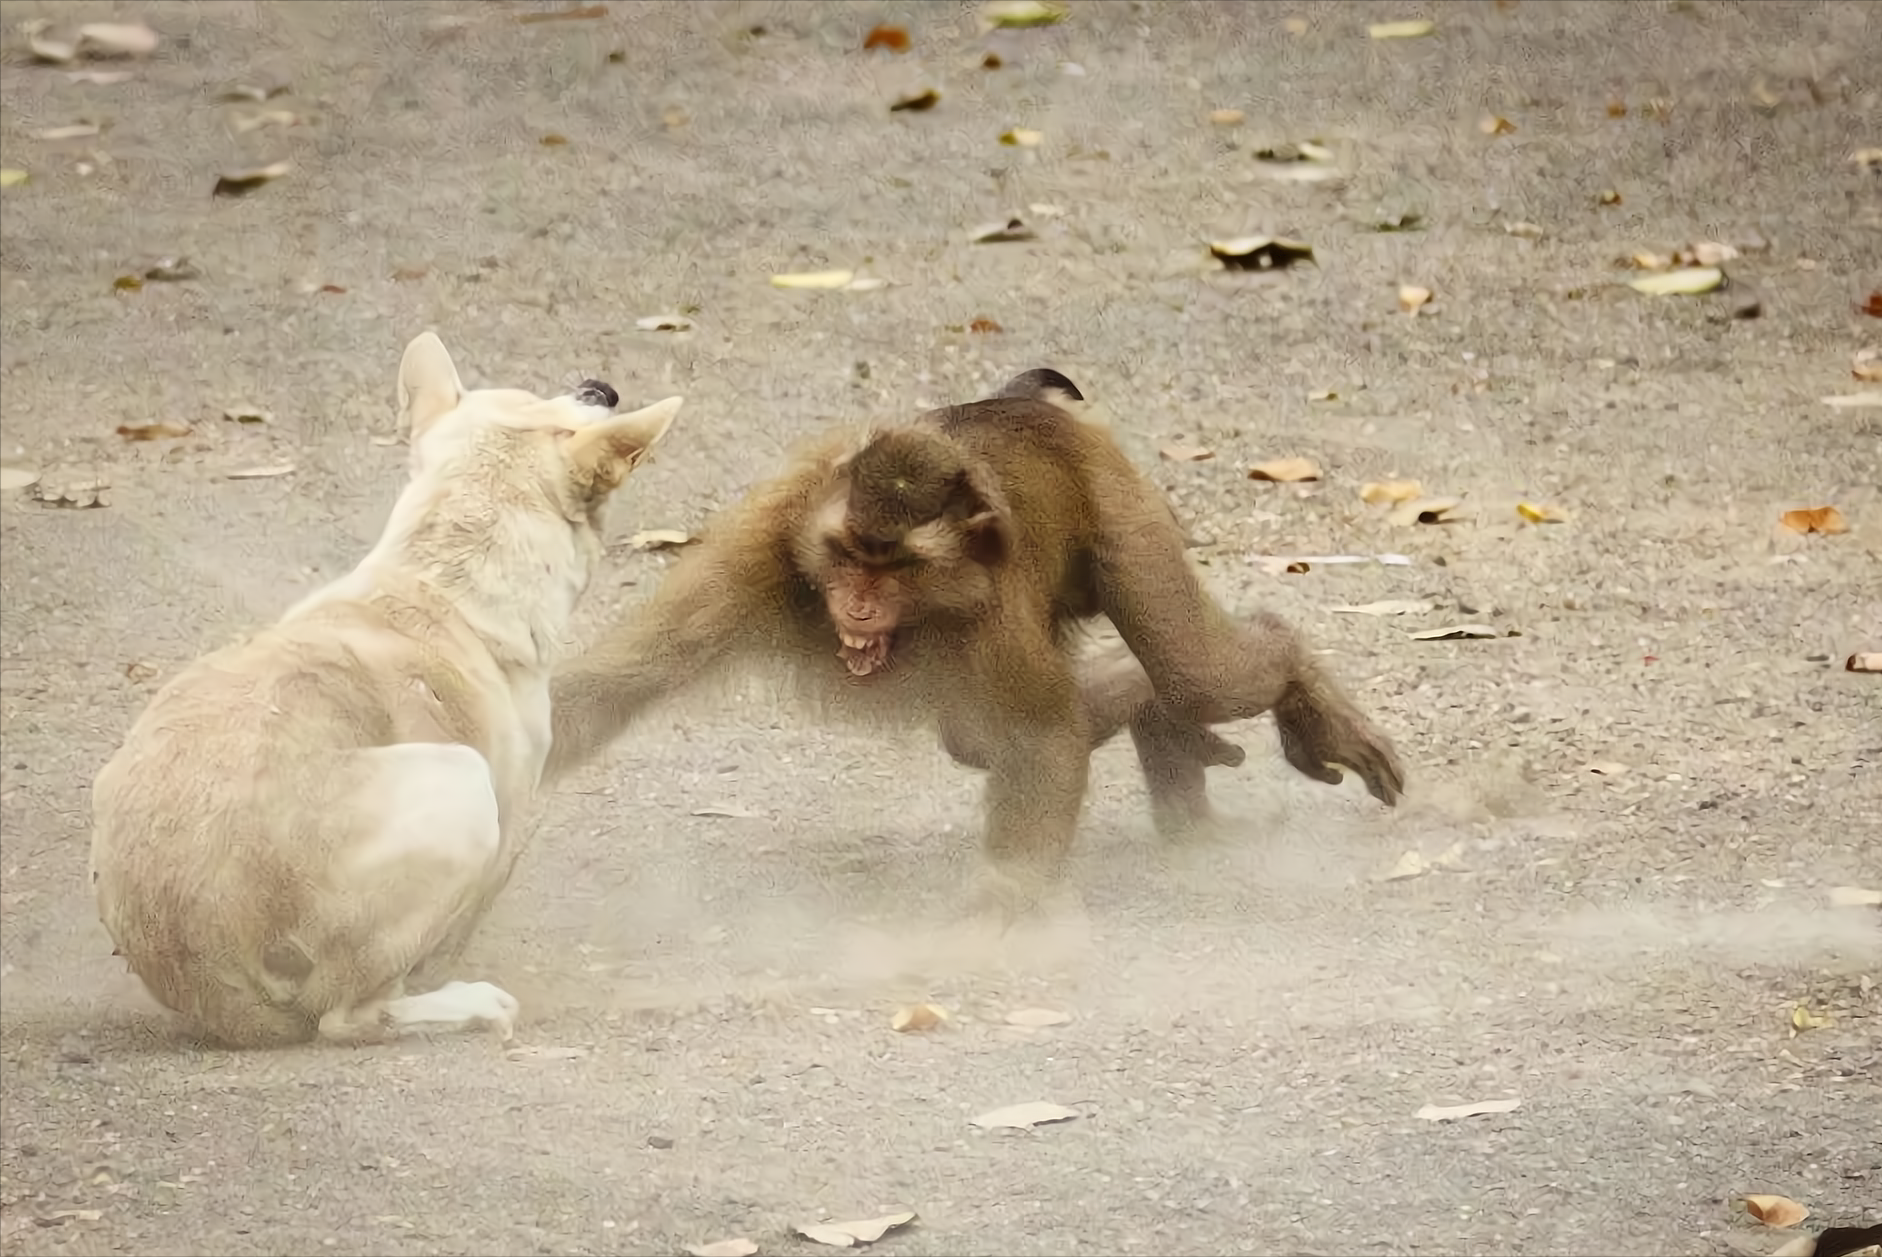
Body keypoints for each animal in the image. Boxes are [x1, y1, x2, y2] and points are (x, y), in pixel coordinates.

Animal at [91, 329, 685, 1046]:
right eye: (562, 411)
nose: (603, 388)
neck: (440, 576)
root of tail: (208, 972)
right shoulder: (505, 816)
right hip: (459, 786)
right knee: (347, 1016)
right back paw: (465, 1006)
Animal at [549, 370, 1407, 914]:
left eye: (895, 567)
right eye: (850, 556)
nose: (858, 603)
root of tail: (1019, 404)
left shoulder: (987, 609)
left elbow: (1044, 740)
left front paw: (994, 915)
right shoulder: (762, 550)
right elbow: (614, 684)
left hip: (1119, 500)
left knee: (1194, 672)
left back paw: (1279, 673)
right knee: (982, 734)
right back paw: (1159, 724)